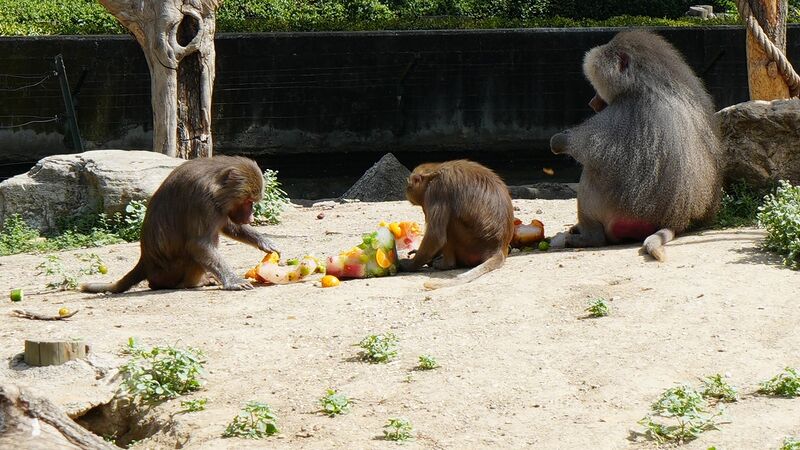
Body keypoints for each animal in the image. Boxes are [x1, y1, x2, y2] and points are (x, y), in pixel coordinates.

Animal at [398, 160, 512, 290]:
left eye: (409, 185)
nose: (406, 190)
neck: (433, 175)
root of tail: (499, 248)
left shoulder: (436, 191)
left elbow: (436, 236)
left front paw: (408, 265)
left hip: (470, 245)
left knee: (450, 222)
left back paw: (447, 264)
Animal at [552, 29, 724, 262]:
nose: (592, 102)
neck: (654, 82)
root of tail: (673, 220)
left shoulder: (627, 108)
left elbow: (584, 148)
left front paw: (558, 141)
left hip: (620, 210)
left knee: (592, 173)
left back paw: (587, 237)